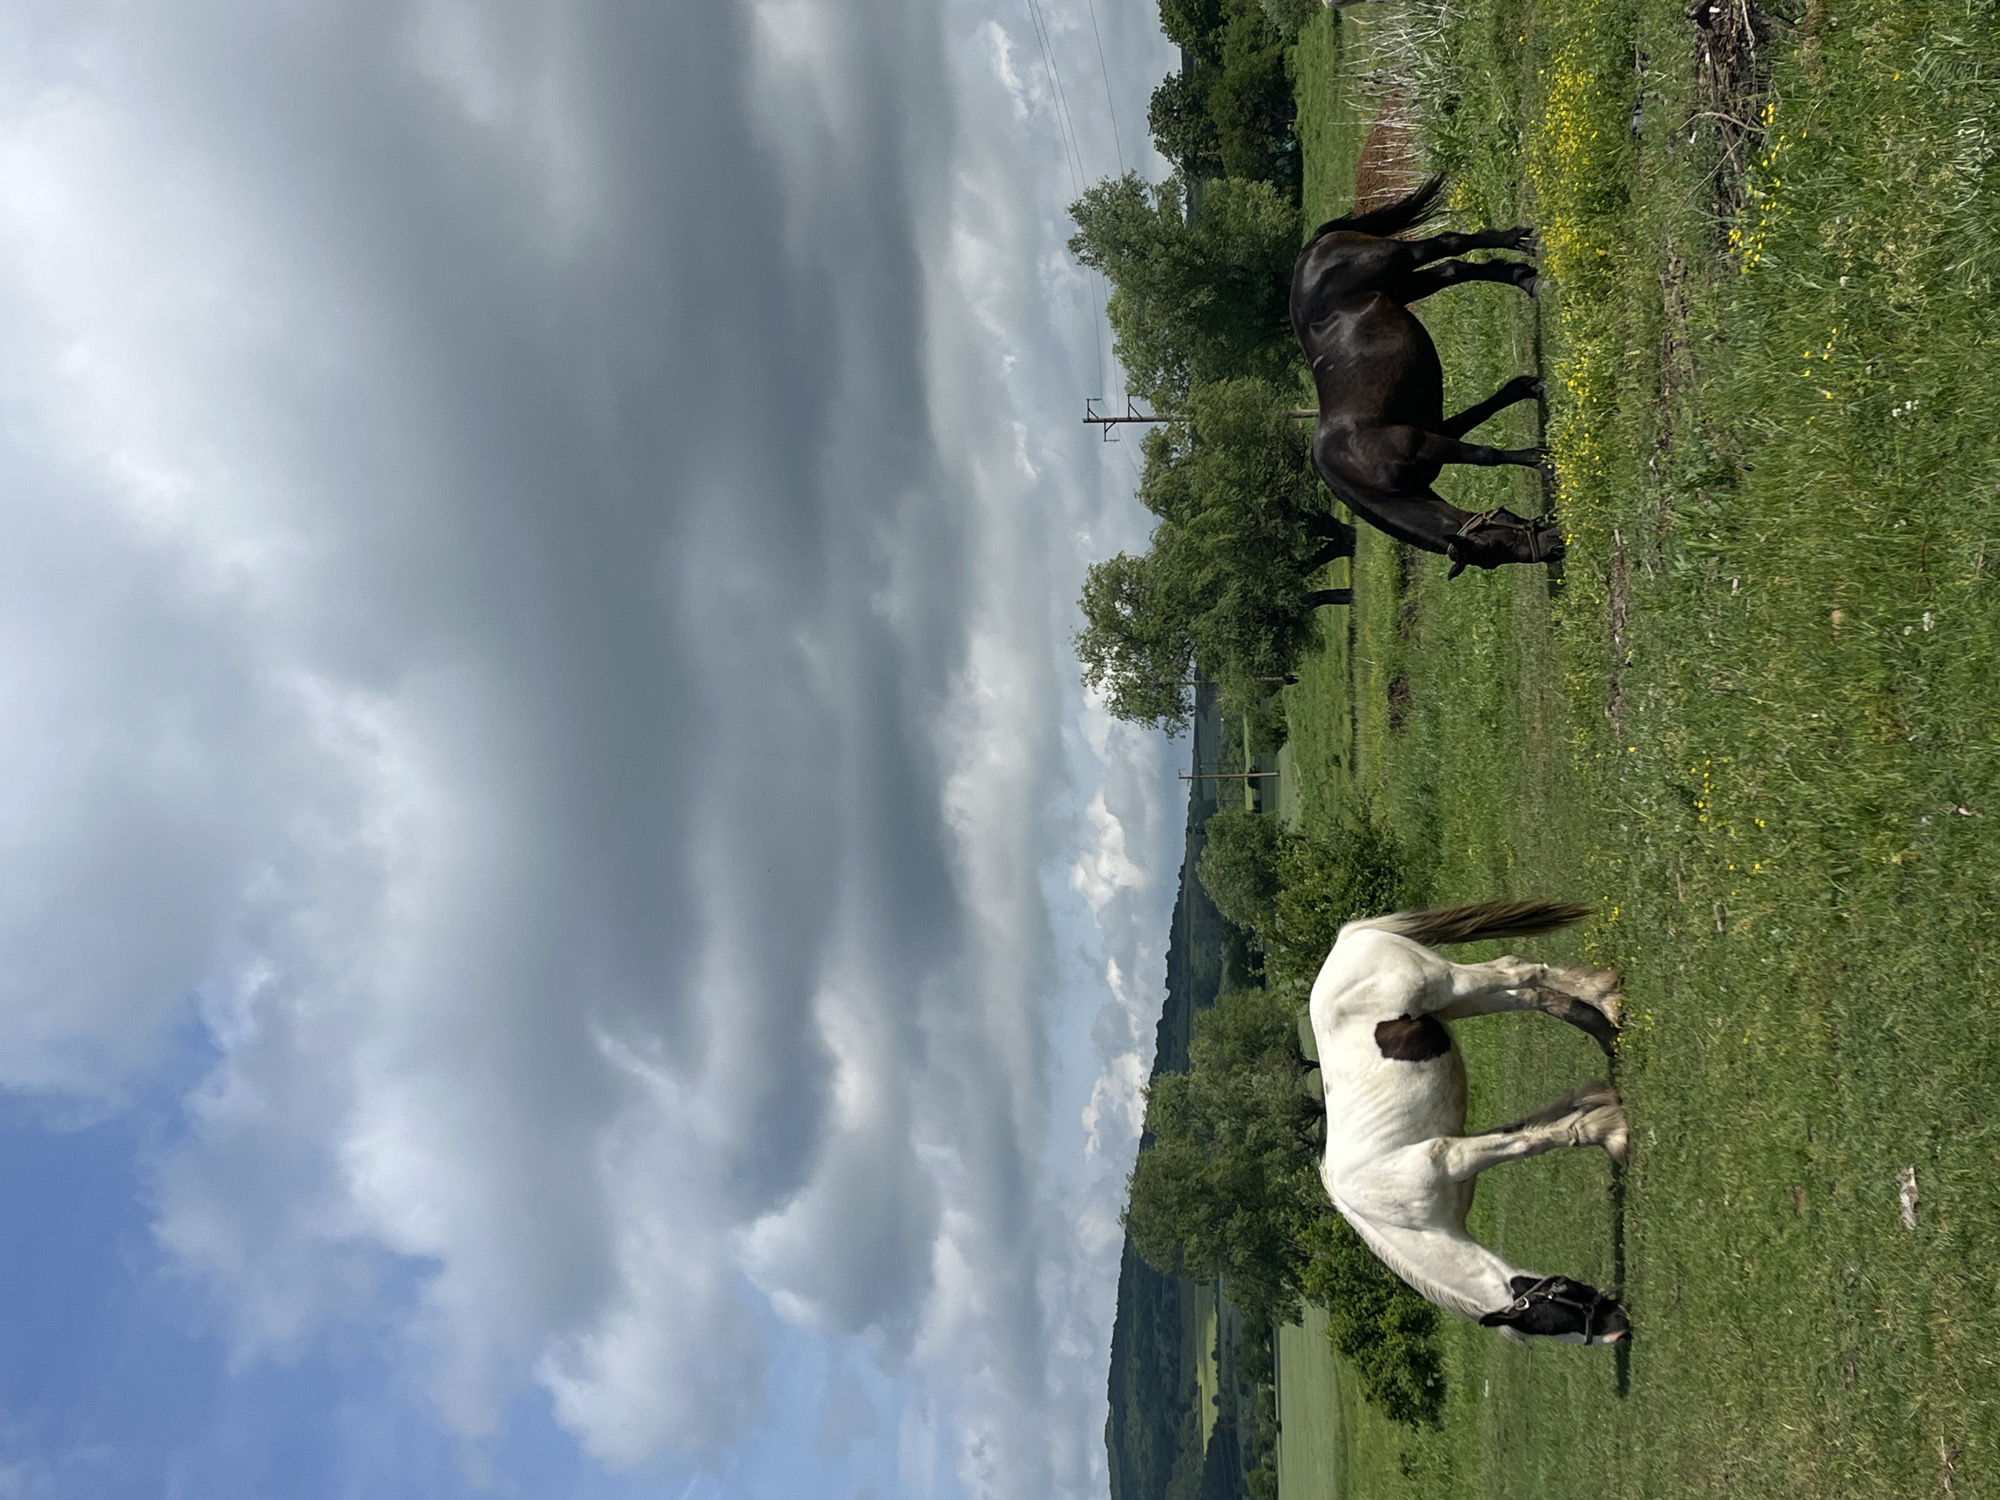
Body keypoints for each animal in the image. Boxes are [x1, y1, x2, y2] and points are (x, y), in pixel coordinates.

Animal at [1290, 176, 1564, 577]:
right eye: (1496, 550)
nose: (1555, 547)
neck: (1359, 464)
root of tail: (1311, 250)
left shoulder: (1425, 441)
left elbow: (1485, 454)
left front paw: (1544, 462)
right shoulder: (1438, 430)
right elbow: (1485, 415)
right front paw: (1533, 391)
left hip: (1398, 260)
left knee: (1448, 243)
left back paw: (1522, 241)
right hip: (1404, 286)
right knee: (1453, 268)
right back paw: (1527, 279)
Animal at [1308, 899, 1633, 1343]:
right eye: (1551, 1324)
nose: (1620, 1329)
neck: (1398, 1214)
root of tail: (1349, 939)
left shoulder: (1452, 1157)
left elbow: (1531, 1140)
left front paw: (1611, 1131)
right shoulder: (1461, 1146)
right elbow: (1528, 1129)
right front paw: (1598, 1106)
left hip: (1451, 985)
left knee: (1517, 970)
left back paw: (1607, 1003)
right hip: (1459, 1003)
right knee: (1530, 994)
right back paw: (1606, 1019)